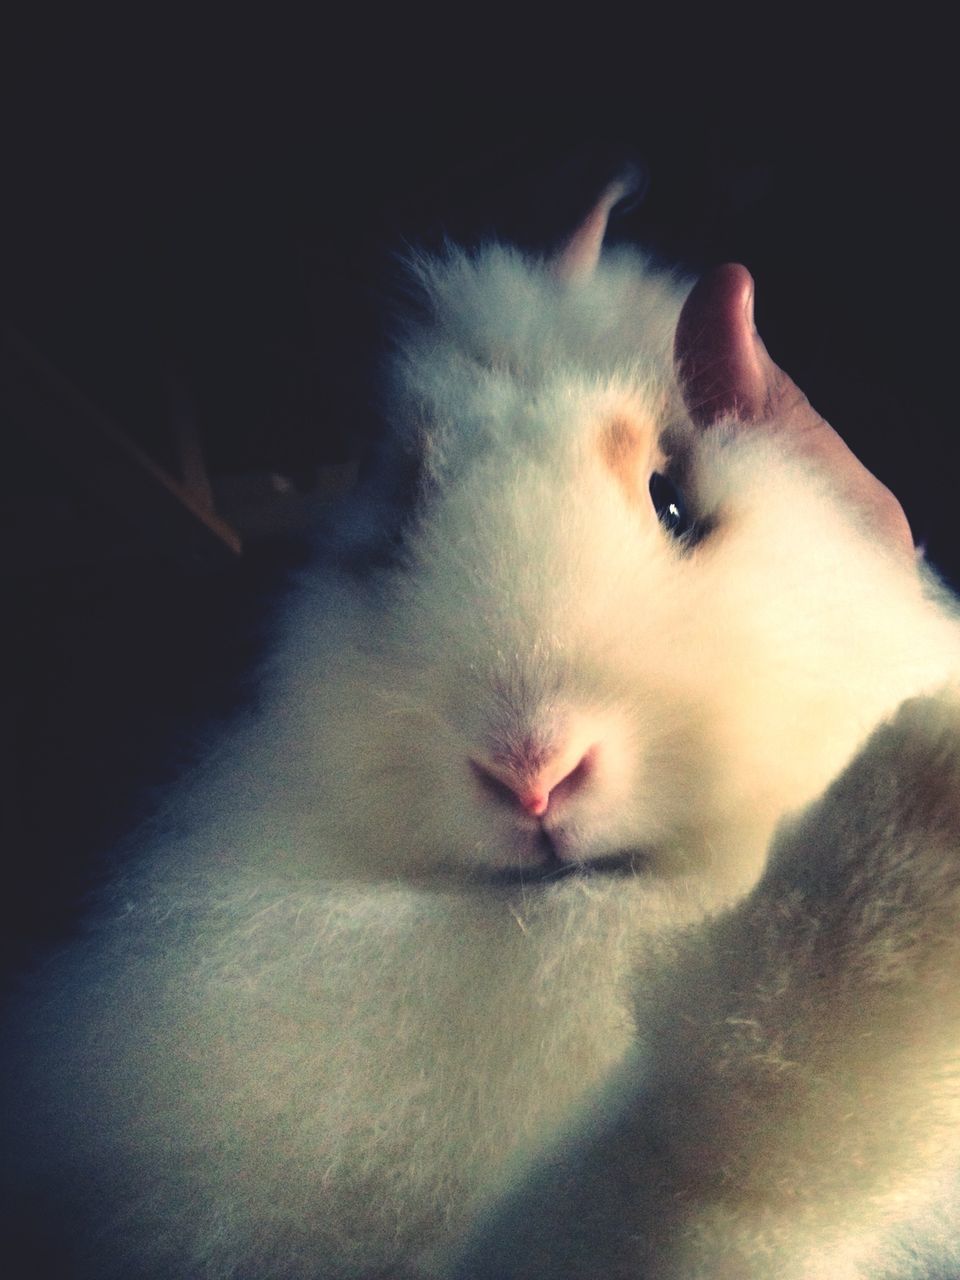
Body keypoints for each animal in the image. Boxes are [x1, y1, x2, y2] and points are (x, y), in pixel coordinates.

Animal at [5, 172, 960, 1280]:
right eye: (392, 528)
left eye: (674, 500)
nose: (530, 769)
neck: (561, 942)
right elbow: (688, 1157)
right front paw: (925, 810)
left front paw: (918, 816)